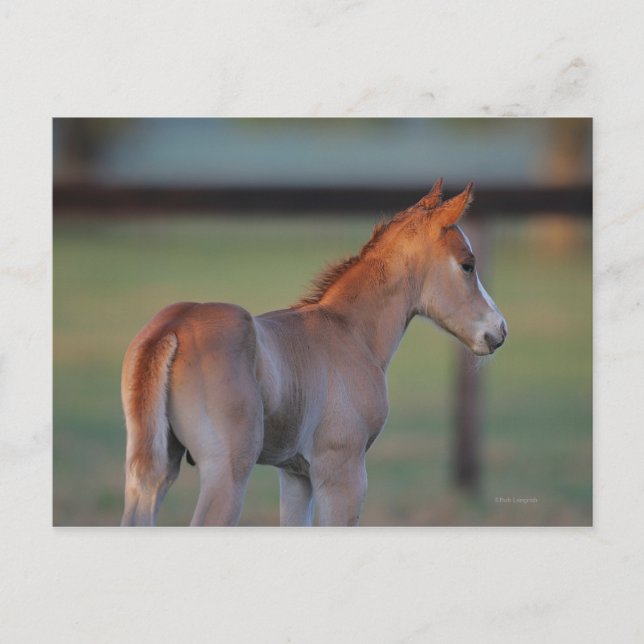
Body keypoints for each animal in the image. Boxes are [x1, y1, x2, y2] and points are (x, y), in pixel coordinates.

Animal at [120, 179, 507, 527]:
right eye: (468, 264)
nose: (499, 331)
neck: (349, 333)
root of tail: (173, 327)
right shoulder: (342, 472)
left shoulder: (295, 475)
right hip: (227, 471)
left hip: (154, 468)